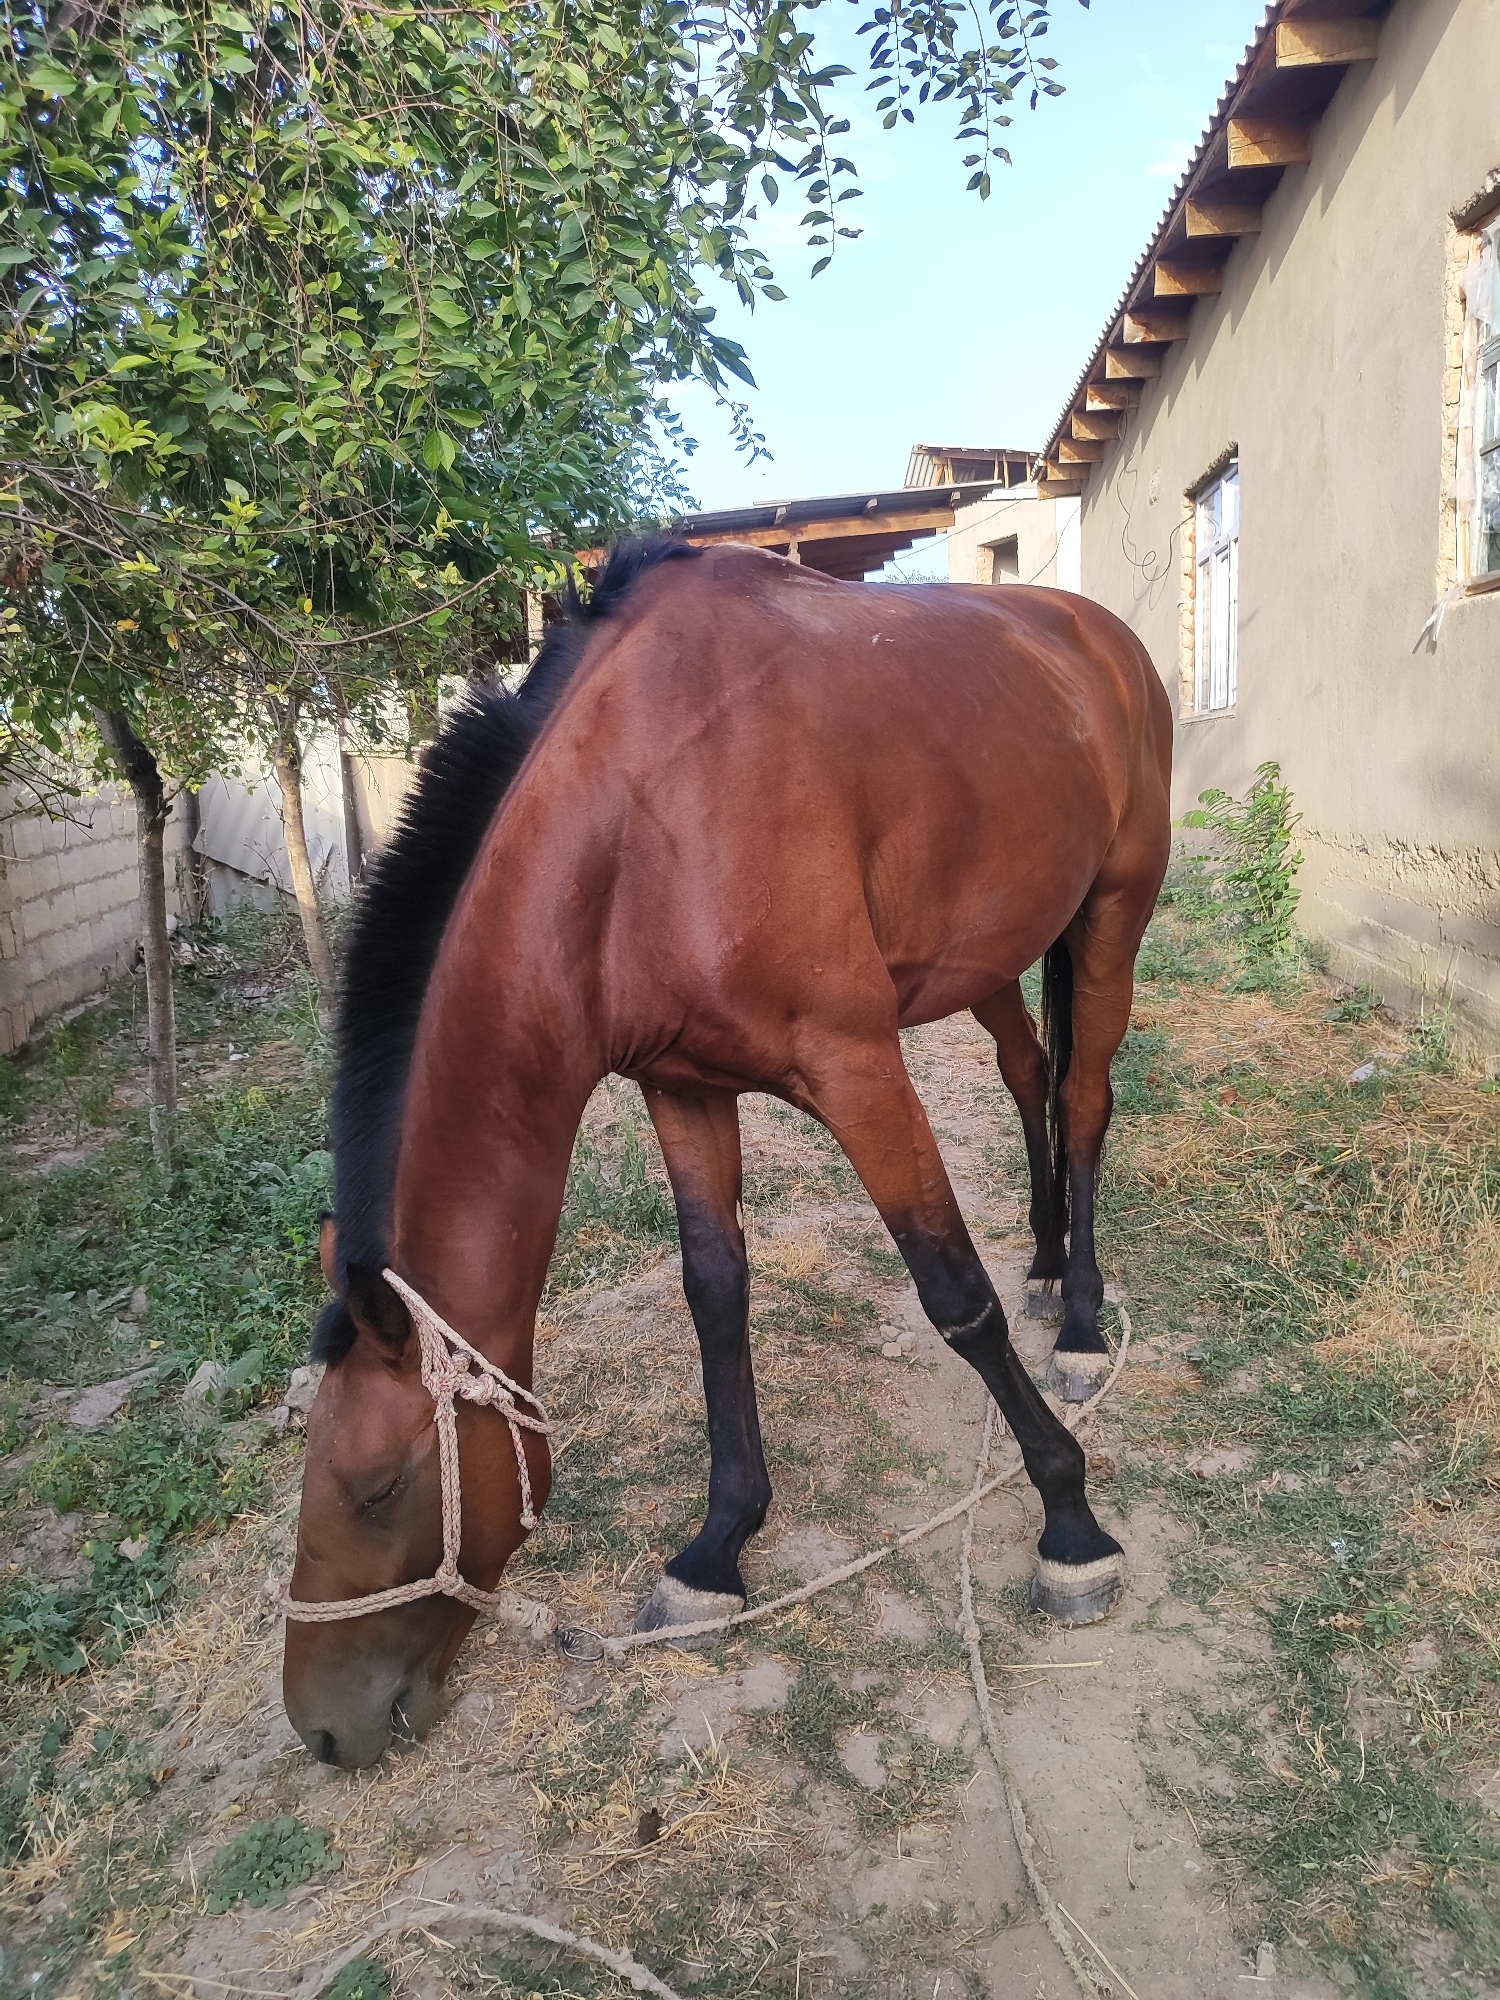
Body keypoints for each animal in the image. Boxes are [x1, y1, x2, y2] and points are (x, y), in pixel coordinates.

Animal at [282, 537, 1172, 1770]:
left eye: (376, 1487)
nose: (320, 1726)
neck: (640, 819)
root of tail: (1101, 636)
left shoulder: (855, 1067)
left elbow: (956, 1298)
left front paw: (1072, 1524)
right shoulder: (685, 1088)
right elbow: (716, 1294)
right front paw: (716, 1548)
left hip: (1112, 917)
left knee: (1083, 1102)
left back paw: (1081, 1323)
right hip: (993, 953)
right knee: (1030, 1073)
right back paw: (1046, 1265)